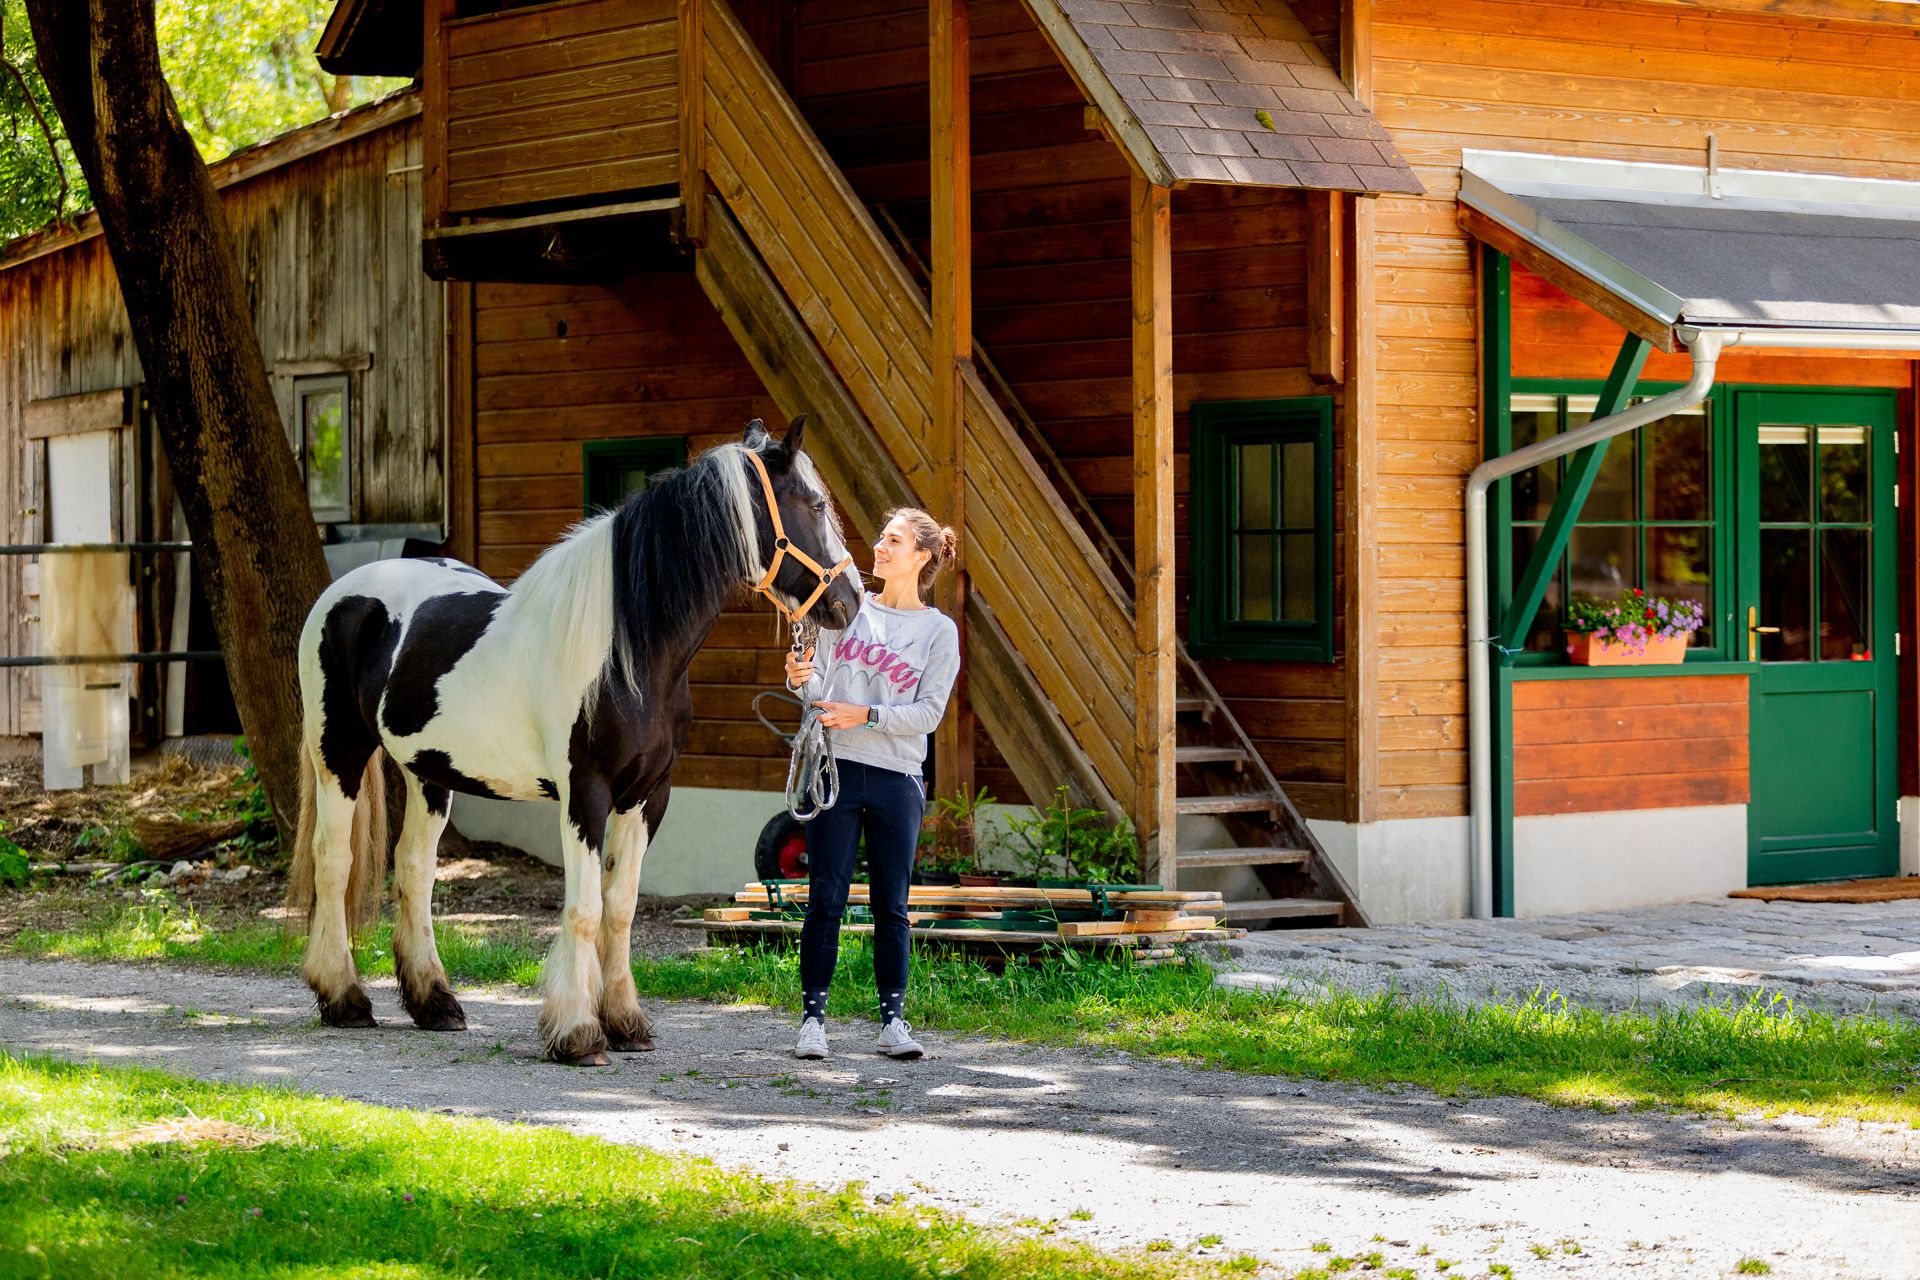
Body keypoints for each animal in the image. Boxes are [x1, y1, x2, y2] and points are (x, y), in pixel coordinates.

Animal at [285, 417, 860, 1065]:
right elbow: (585, 909)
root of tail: (345, 593)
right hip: (338, 753)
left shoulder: (648, 794)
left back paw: (434, 1003)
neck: (627, 649)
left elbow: (621, 908)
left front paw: (626, 1022)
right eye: (814, 504)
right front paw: (579, 1032)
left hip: (427, 770)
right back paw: (344, 998)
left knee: (414, 868)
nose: (851, 601)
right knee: (334, 862)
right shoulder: (585, 792)